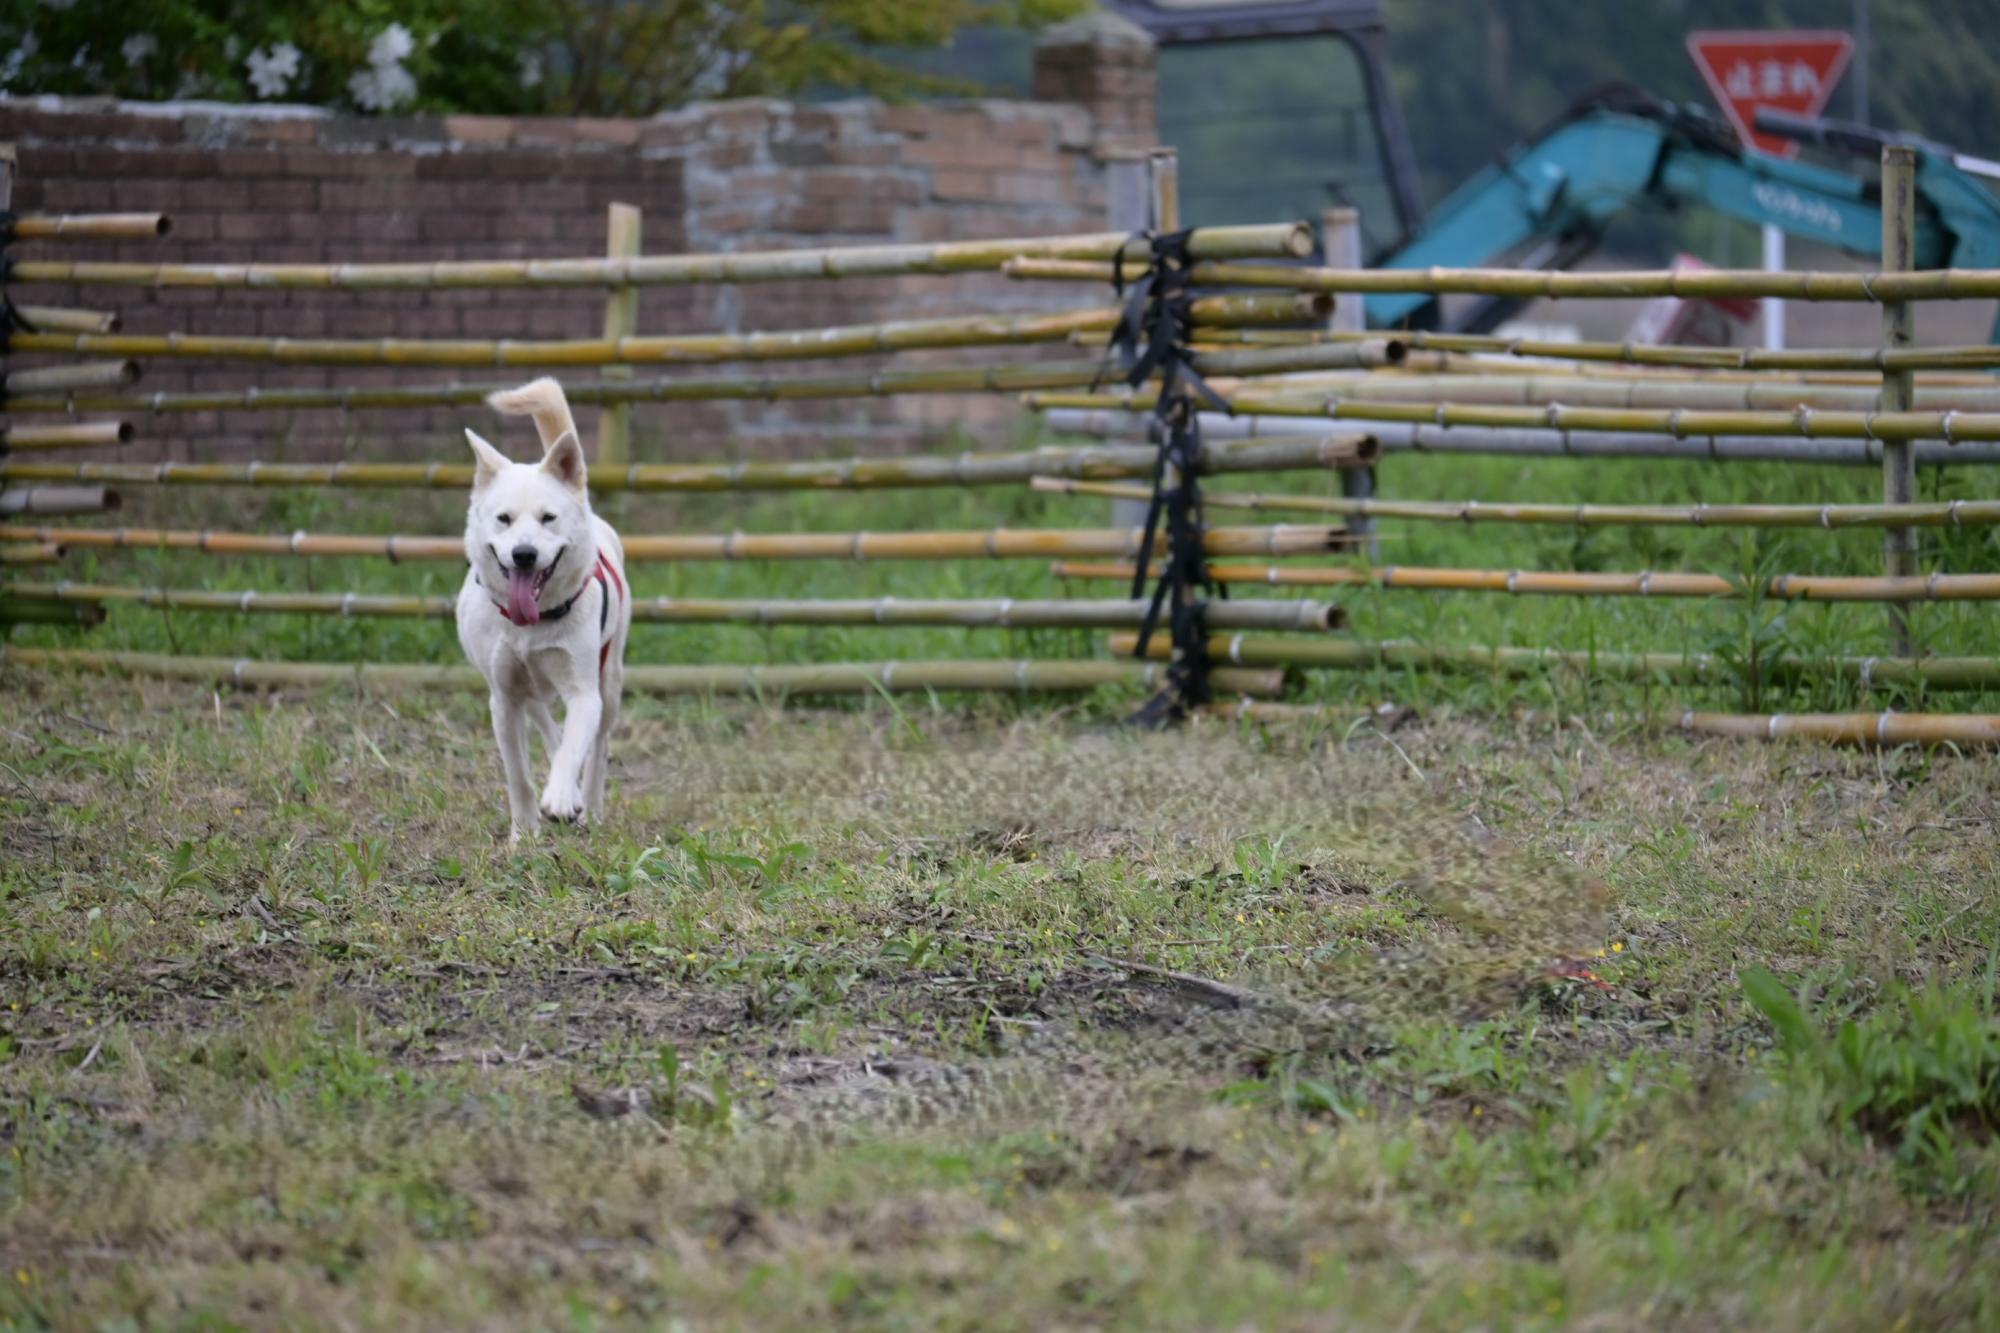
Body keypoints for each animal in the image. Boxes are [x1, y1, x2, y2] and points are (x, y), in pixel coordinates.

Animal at [460, 374, 632, 836]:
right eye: (503, 519)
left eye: (548, 518)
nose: (523, 554)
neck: (530, 626)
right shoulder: (502, 698)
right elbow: (518, 773)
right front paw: (524, 834)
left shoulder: (584, 692)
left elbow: (576, 746)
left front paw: (560, 799)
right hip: (524, 689)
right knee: (545, 722)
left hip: (610, 679)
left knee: (597, 745)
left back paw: (588, 807)